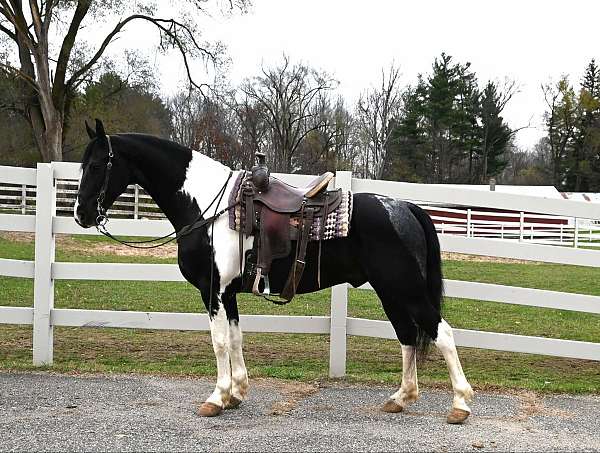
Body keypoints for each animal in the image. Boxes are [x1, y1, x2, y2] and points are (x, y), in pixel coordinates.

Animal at [72, 120, 474, 424]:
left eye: (97, 165)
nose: (81, 214)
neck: (208, 208)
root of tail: (405, 207)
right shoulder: (228, 293)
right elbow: (235, 339)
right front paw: (236, 392)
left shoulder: (212, 290)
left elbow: (219, 342)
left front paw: (216, 398)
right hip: (390, 291)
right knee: (407, 336)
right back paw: (400, 398)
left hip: (405, 289)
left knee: (442, 333)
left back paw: (460, 405)